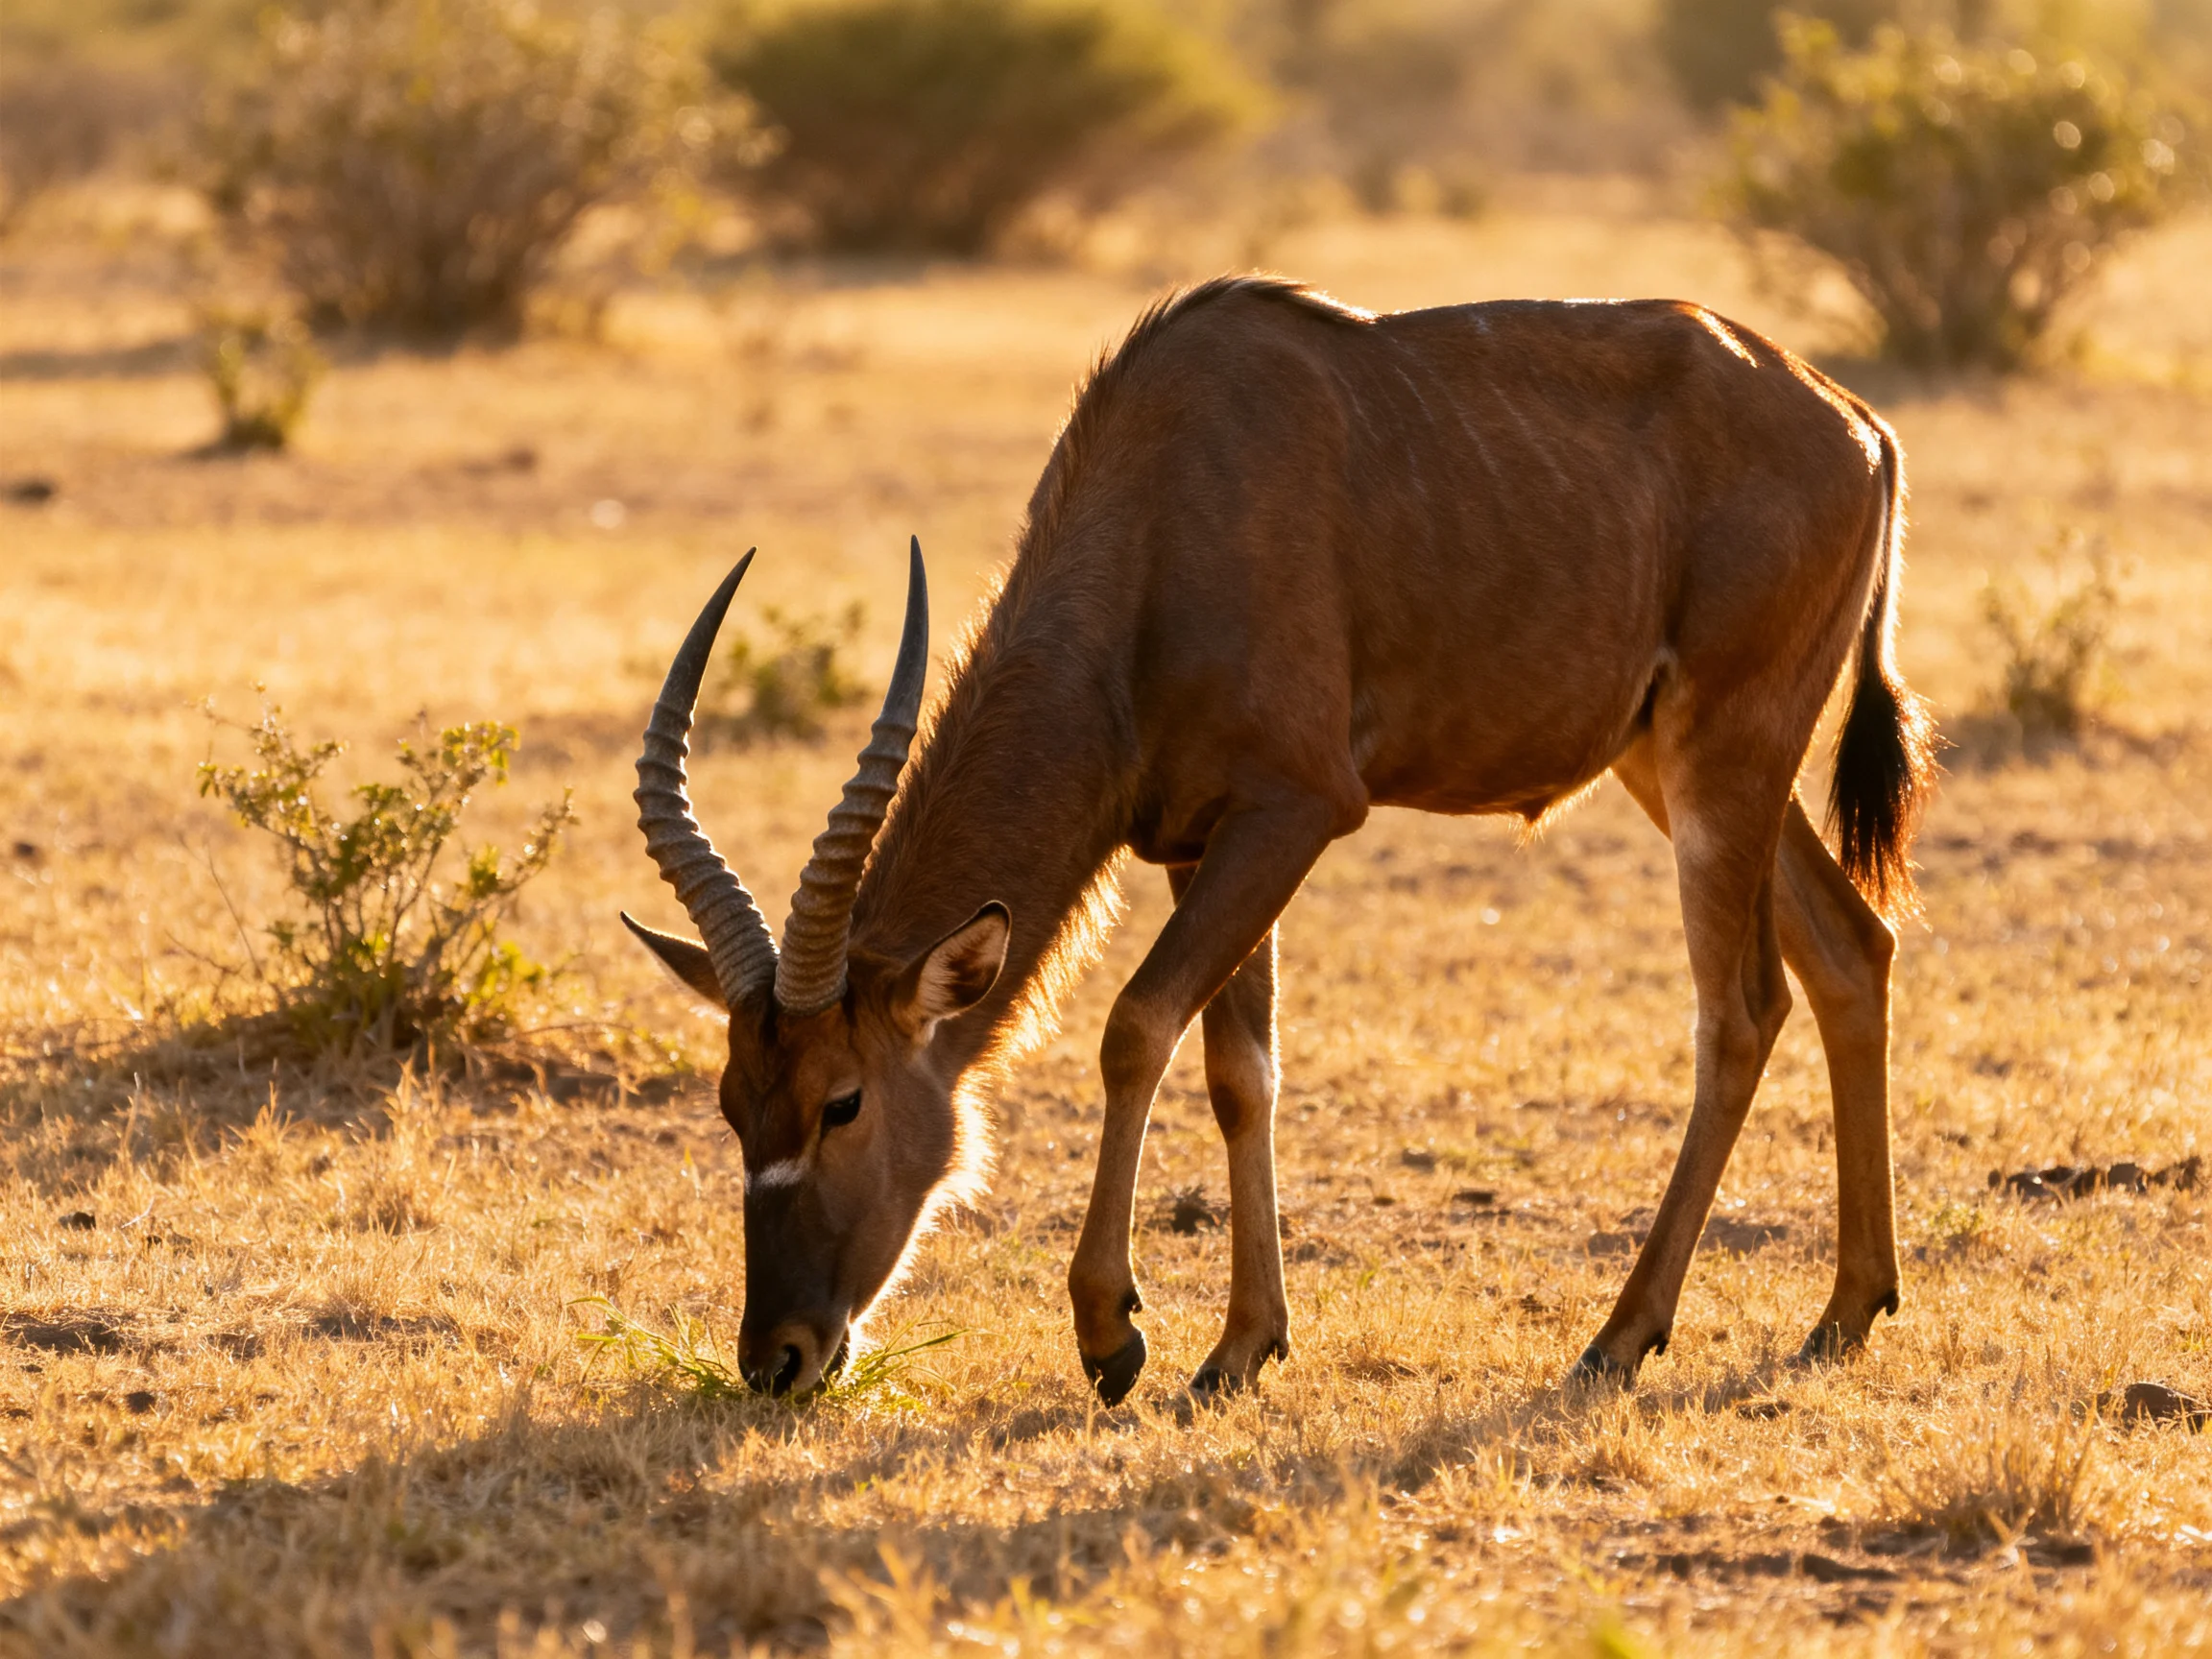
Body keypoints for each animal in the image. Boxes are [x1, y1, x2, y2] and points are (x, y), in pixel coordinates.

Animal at [624, 277, 1936, 1403]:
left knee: (1741, 1010)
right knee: (1850, 950)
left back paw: (1621, 1338)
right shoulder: (1198, 843)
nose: (778, 1357)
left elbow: (1137, 1026)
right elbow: (1237, 1066)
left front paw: (1113, 1335)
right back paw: (1847, 1310)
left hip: (1723, 763)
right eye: (734, 1103)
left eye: (842, 1101)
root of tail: (1861, 427)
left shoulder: (1295, 810)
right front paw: (1243, 1344)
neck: (1163, 508)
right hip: (1674, 762)